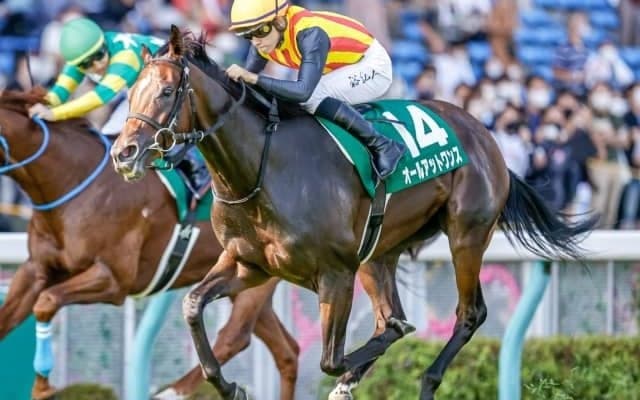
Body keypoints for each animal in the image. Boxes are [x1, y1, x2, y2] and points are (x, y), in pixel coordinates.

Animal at [0, 88, 300, 400]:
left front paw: (43, 387)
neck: (73, 182)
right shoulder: (35, 269)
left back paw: (173, 391)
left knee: (235, 335)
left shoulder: (114, 279)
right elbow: (6, 318)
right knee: (287, 351)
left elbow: (46, 302)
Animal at [111, 27, 596, 400]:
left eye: (167, 92)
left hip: (467, 233)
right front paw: (228, 386)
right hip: (378, 252)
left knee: (468, 313)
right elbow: (192, 305)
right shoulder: (249, 265)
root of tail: (484, 134)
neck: (262, 170)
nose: (123, 153)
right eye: (131, 93)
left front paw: (347, 375)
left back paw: (424, 378)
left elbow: (331, 358)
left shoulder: (334, 274)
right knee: (393, 315)